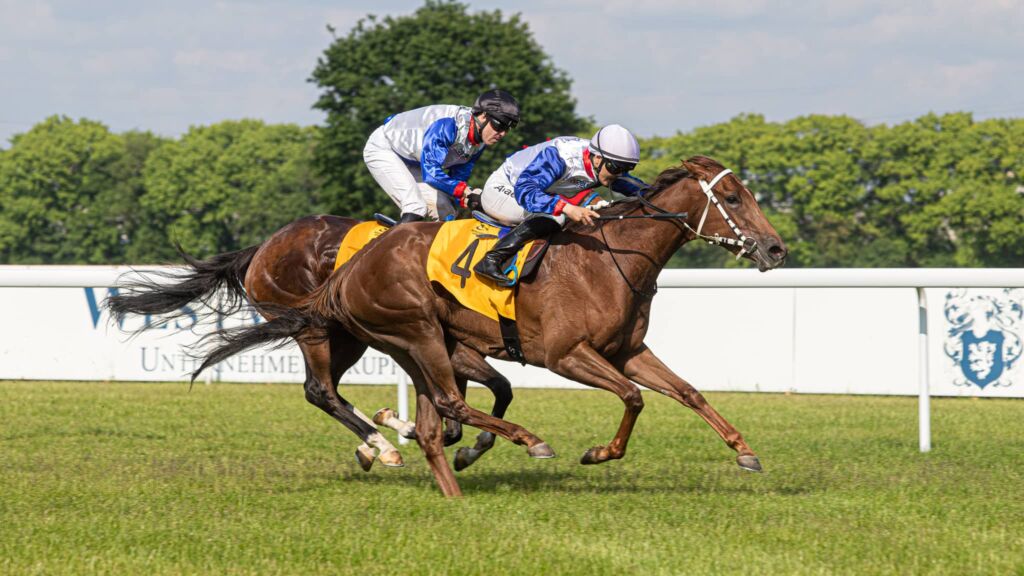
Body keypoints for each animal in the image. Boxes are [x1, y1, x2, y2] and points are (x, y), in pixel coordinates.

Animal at [106, 215, 517, 472]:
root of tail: (262, 248)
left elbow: (496, 389)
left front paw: (457, 443)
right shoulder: (442, 344)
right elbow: (466, 400)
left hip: (344, 336)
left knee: (328, 389)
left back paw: (379, 440)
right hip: (315, 327)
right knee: (319, 390)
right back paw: (382, 445)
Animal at [193, 156, 788, 497]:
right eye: (732, 198)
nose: (775, 248)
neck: (609, 259)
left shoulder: (626, 350)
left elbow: (687, 391)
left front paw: (744, 451)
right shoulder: (564, 354)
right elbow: (631, 398)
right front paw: (598, 453)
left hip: (386, 338)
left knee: (407, 401)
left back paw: (405, 450)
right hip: (369, 331)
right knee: (335, 391)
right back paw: (410, 444)